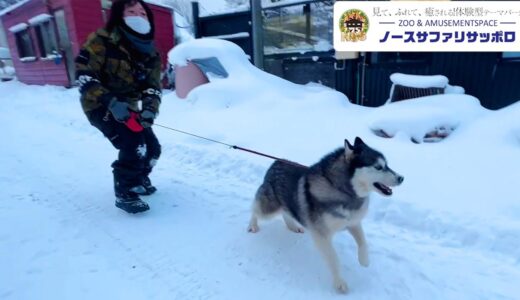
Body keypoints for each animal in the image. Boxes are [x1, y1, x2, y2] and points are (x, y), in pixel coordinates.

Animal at [247, 138, 402, 292]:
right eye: (378, 167)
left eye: (387, 165)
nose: (402, 178)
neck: (342, 190)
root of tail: (276, 163)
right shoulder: (321, 235)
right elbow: (334, 258)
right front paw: (339, 282)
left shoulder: (353, 222)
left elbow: (363, 242)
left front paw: (364, 260)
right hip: (268, 209)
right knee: (255, 208)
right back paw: (252, 225)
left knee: (286, 212)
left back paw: (293, 226)